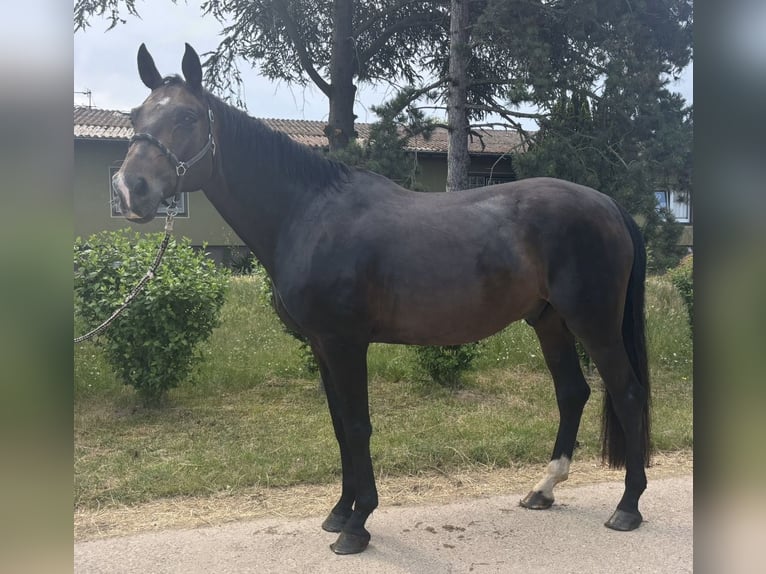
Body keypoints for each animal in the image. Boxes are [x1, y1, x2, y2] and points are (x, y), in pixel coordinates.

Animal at [112, 43, 652, 555]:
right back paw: (543, 489)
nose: (129, 189)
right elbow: (338, 426)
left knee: (626, 391)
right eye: (137, 116)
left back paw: (627, 507)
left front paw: (357, 525)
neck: (307, 215)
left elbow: (356, 425)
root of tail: (609, 205)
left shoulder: (346, 343)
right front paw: (338, 511)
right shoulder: (322, 346)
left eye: (186, 117)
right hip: (550, 321)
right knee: (572, 392)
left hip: (593, 322)